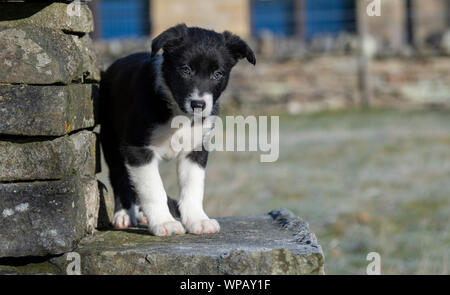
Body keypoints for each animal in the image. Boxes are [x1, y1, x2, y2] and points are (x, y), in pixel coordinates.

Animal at [100, 23, 255, 237]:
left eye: (218, 74)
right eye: (186, 70)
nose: (198, 104)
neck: (180, 114)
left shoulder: (196, 149)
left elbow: (193, 186)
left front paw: (198, 220)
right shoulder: (137, 148)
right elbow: (153, 188)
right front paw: (164, 222)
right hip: (111, 138)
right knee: (119, 175)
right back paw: (124, 214)